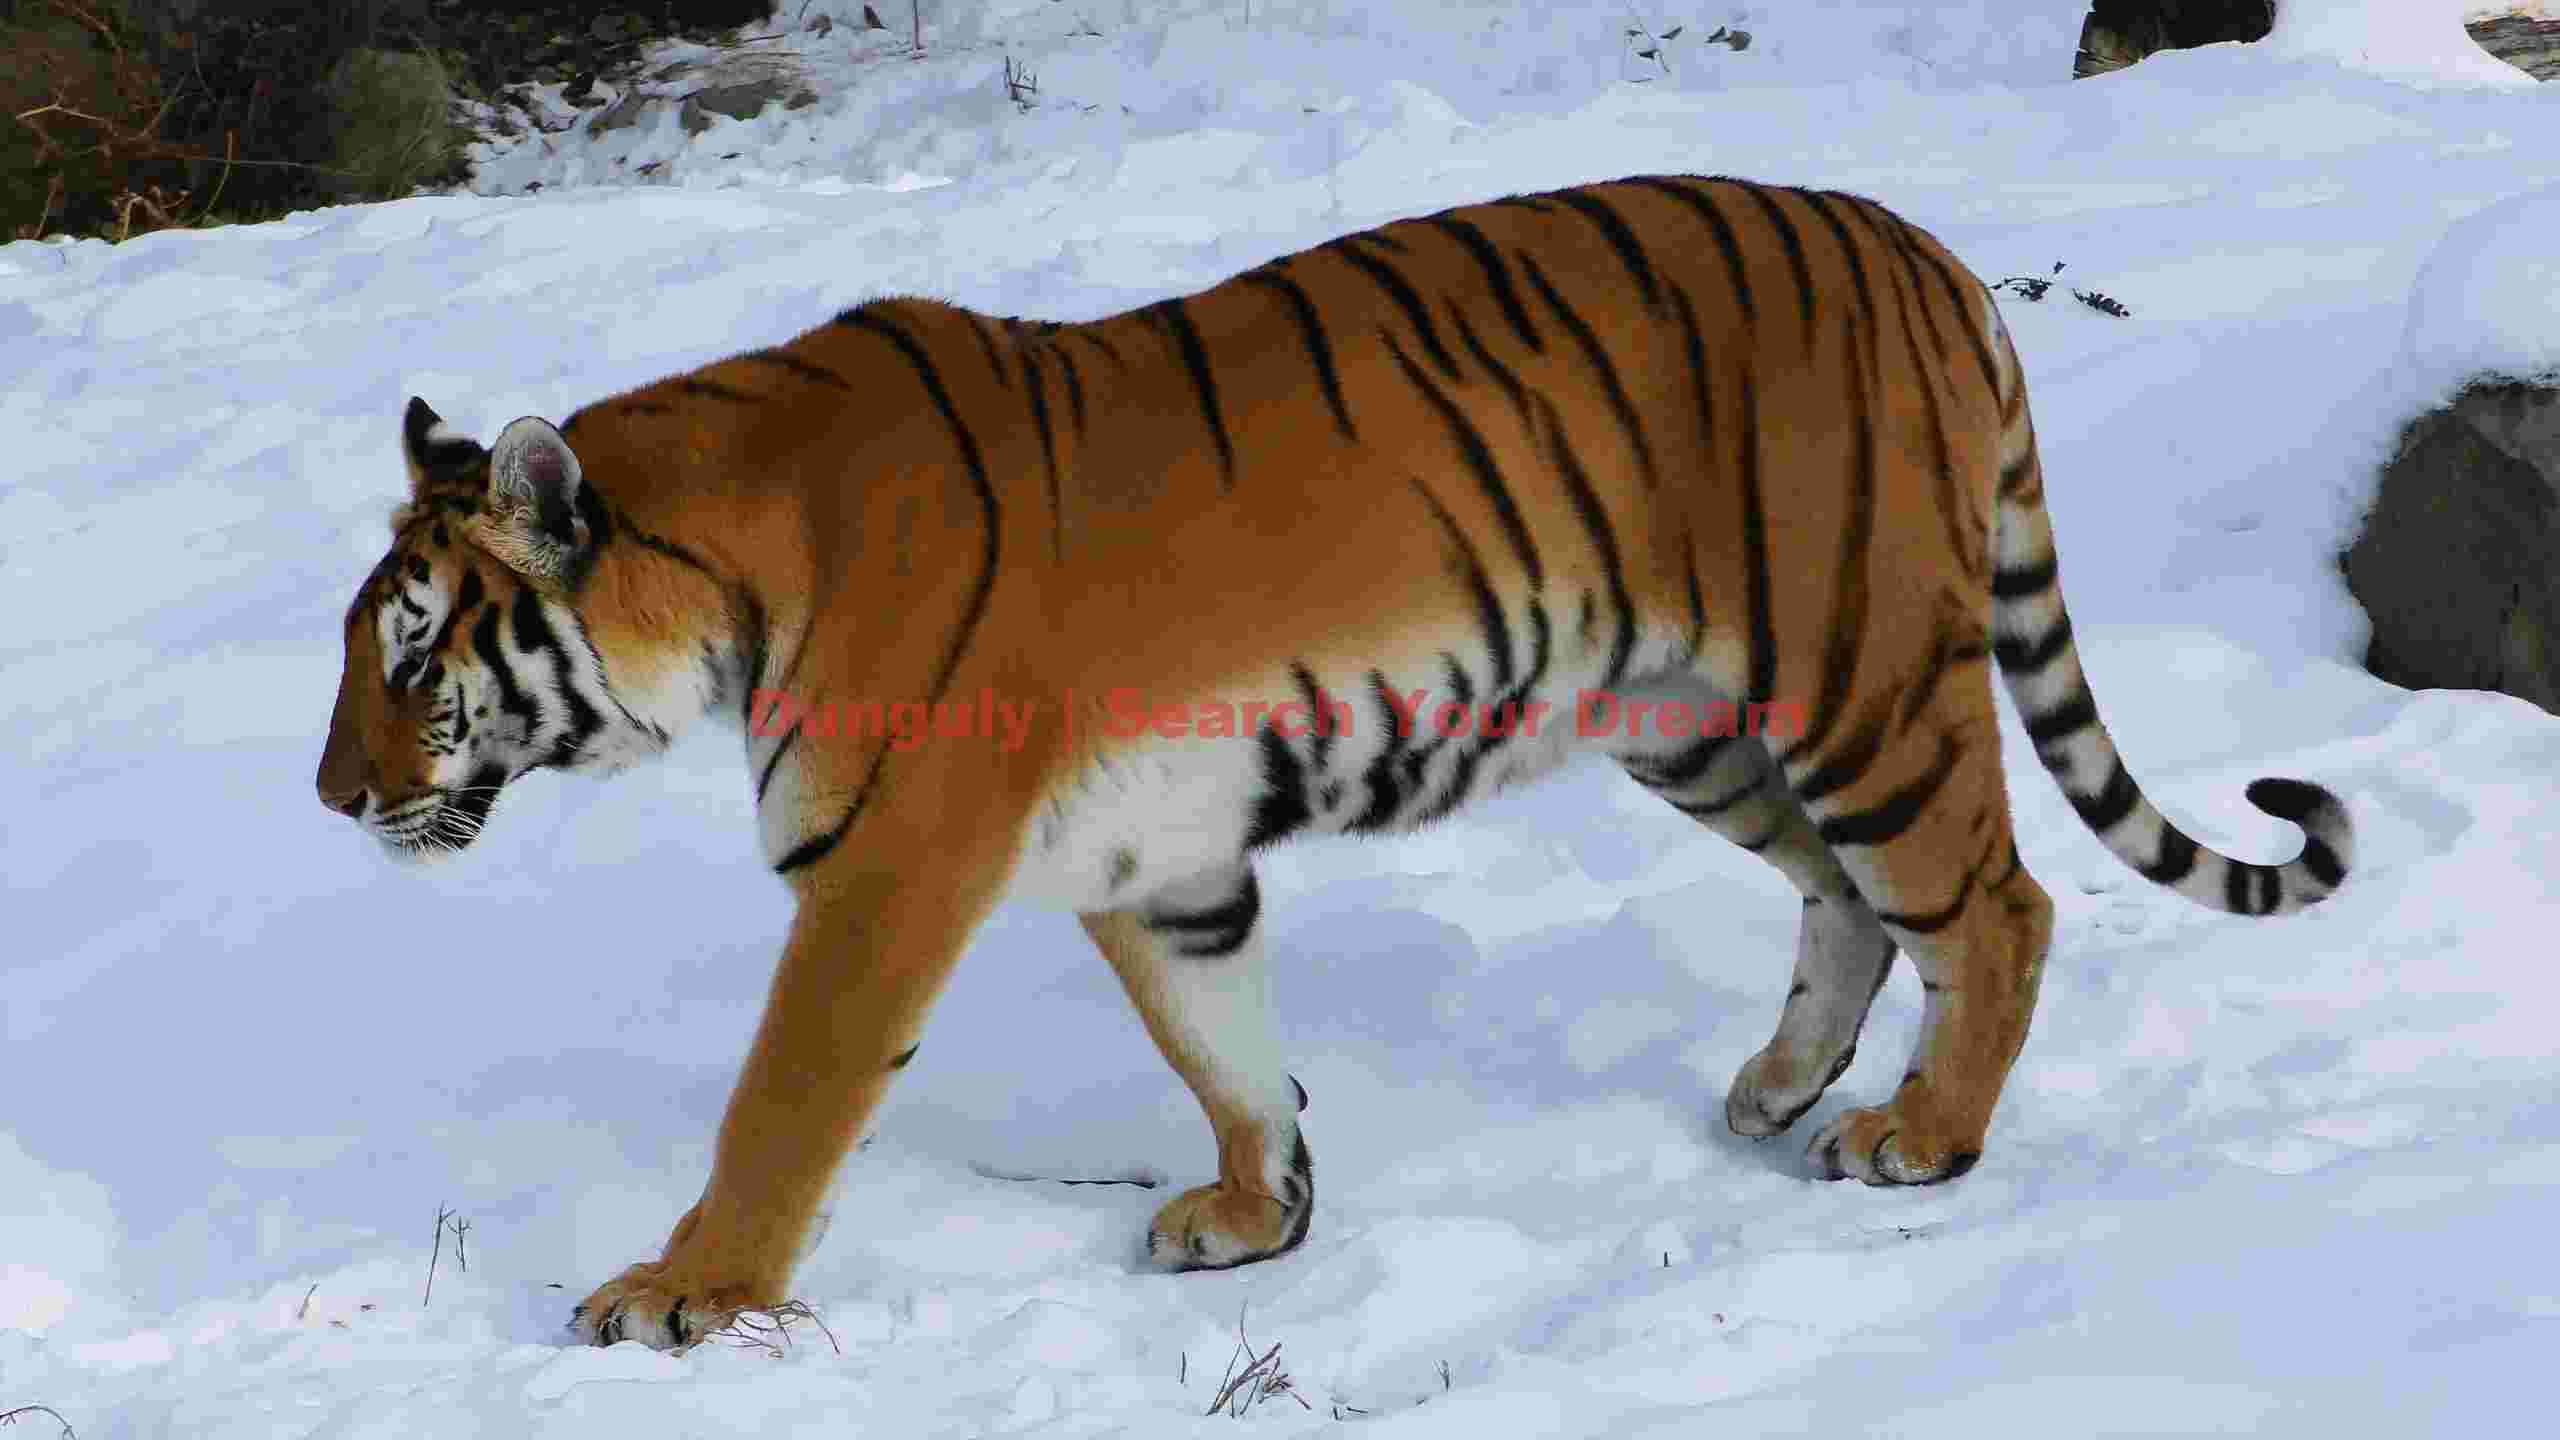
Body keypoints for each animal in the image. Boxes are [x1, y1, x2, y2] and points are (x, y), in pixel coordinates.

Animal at [315, 173, 2352, 1351]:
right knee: (1853, 904)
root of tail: (1935, 253)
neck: (728, 575)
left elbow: (781, 1101)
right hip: (1691, 722)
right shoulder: (1156, 864)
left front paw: (688, 1294)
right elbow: (1221, 1047)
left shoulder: (888, 871)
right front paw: (1258, 1212)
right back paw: (1781, 1090)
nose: (331, 802)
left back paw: (1920, 1137)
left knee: (1992, 904)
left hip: (1857, 684)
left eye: (412, 651)